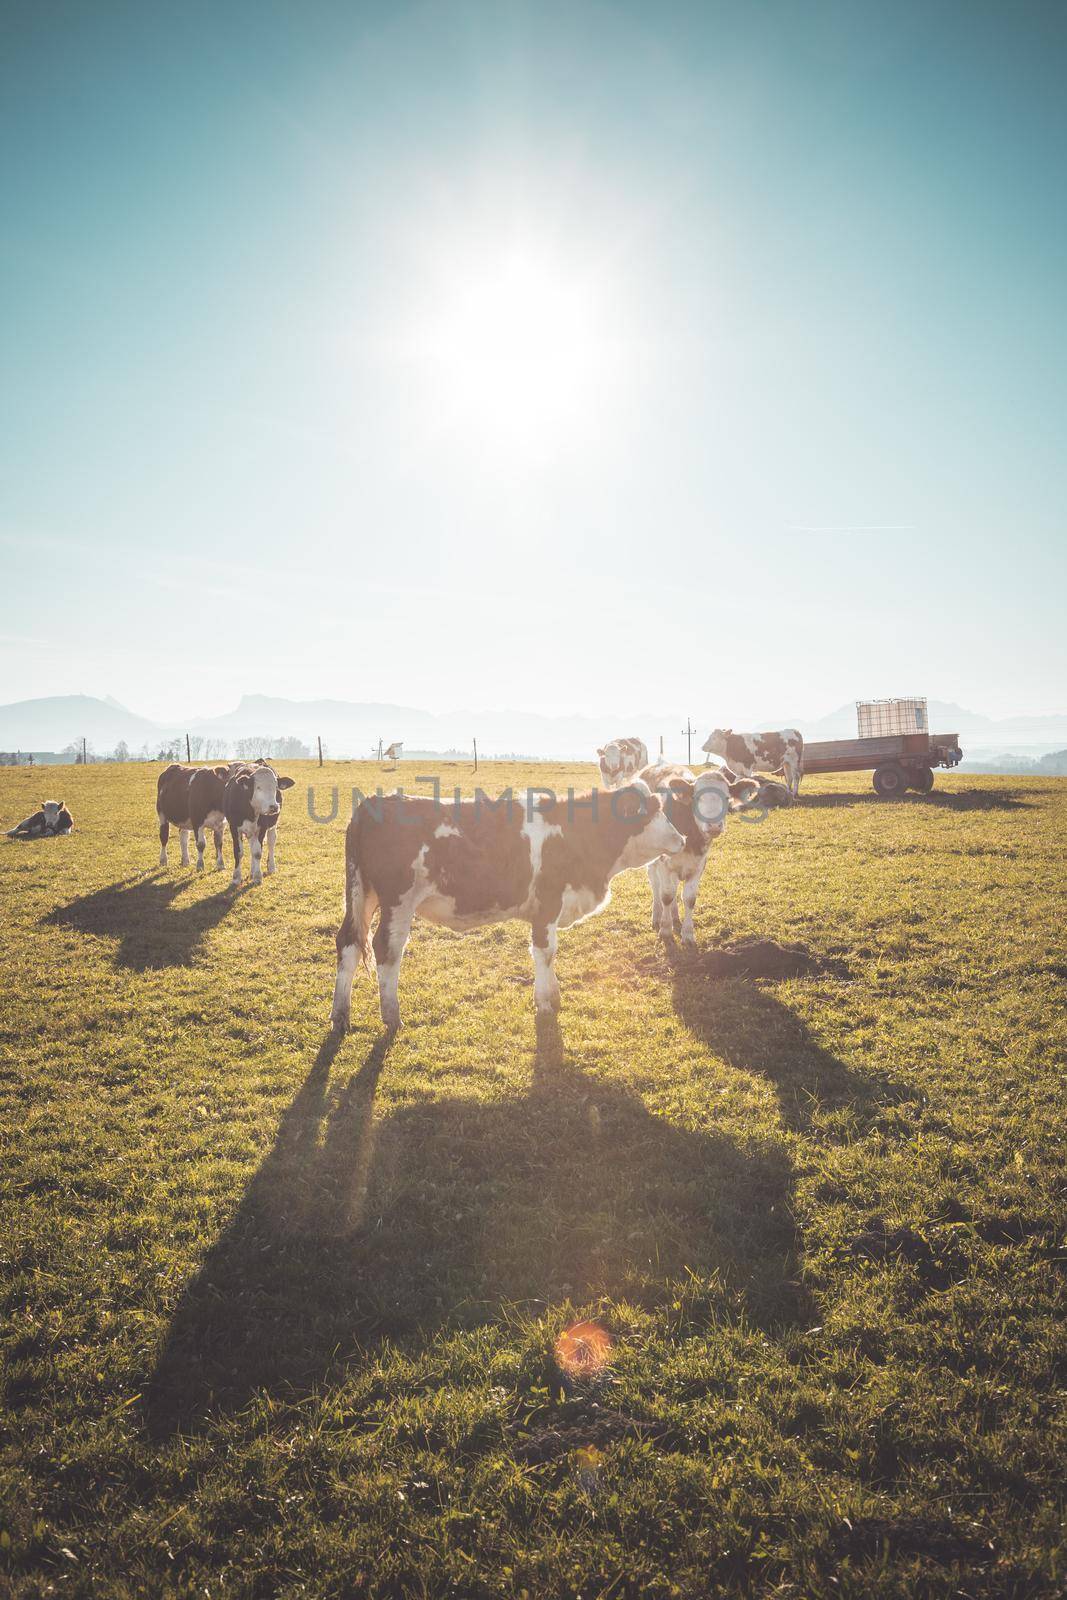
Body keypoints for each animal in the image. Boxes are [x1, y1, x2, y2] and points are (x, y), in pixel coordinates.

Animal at [223, 761, 294, 889]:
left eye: (276, 787)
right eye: (258, 787)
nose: (274, 807)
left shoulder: (262, 828)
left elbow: (257, 853)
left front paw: (257, 877)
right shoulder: (234, 827)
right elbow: (238, 852)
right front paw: (236, 878)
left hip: (271, 826)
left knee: (271, 842)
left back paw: (270, 867)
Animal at [329, 777, 687, 1030]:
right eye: (652, 811)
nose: (682, 838)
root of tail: (371, 804)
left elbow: (551, 954)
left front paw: (554, 994)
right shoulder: (546, 904)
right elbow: (545, 952)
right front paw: (545, 1002)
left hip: (362, 895)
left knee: (349, 944)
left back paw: (340, 1014)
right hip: (398, 902)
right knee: (386, 950)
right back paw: (391, 1016)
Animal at [639, 764, 764, 947]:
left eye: (727, 797)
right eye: (696, 797)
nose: (714, 826)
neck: (691, 839)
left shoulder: (699, 865)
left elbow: (689, 898)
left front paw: (688, 934)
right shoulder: (664, 863)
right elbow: (666, 895)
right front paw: (665, 930)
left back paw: (675, 917)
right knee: (655, 885)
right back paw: (657, 917)